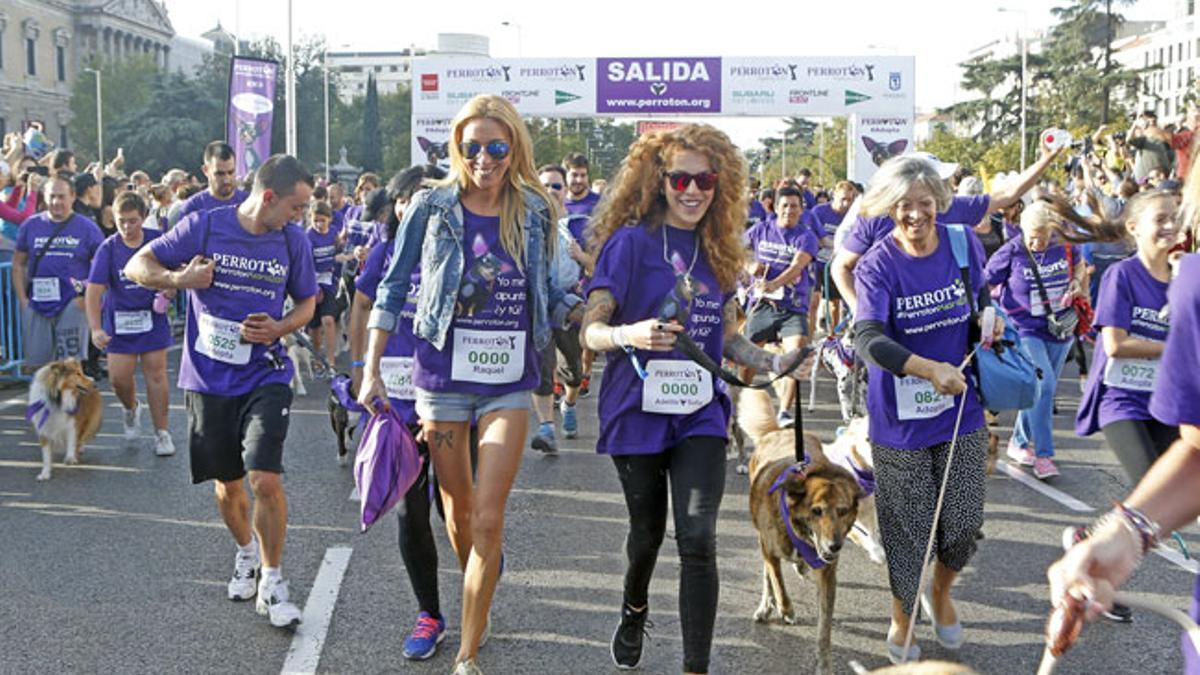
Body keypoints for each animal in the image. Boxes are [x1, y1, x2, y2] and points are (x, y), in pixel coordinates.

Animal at [739, 386, 864, 667]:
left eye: (842, 511)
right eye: (816, 511)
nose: (834, 546)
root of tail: (778, 431)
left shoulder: (827, 575)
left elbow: (824, 628)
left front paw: (824, 663)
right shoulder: (770, 550)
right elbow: (778, 583)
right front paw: (786, 609)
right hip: (762, 540)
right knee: (768, 577)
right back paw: (767, 606)